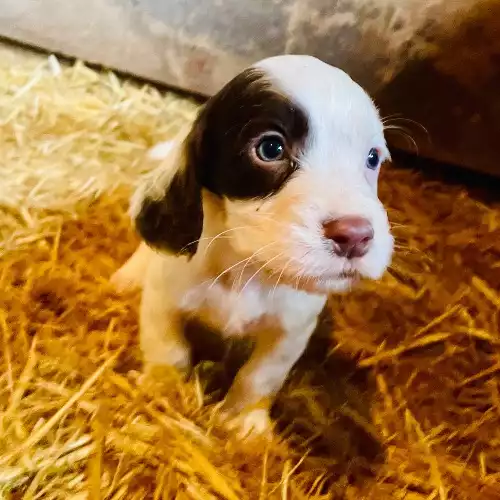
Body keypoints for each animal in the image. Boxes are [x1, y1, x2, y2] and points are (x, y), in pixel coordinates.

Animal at [111, 53, 392, 438]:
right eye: (270, 148)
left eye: (372, 158)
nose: (356, 235)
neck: (245, 268)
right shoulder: (163, 302)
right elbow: (169, 351)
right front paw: (162, 392)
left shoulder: (291, 329)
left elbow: (260, 376)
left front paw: (243, 422)